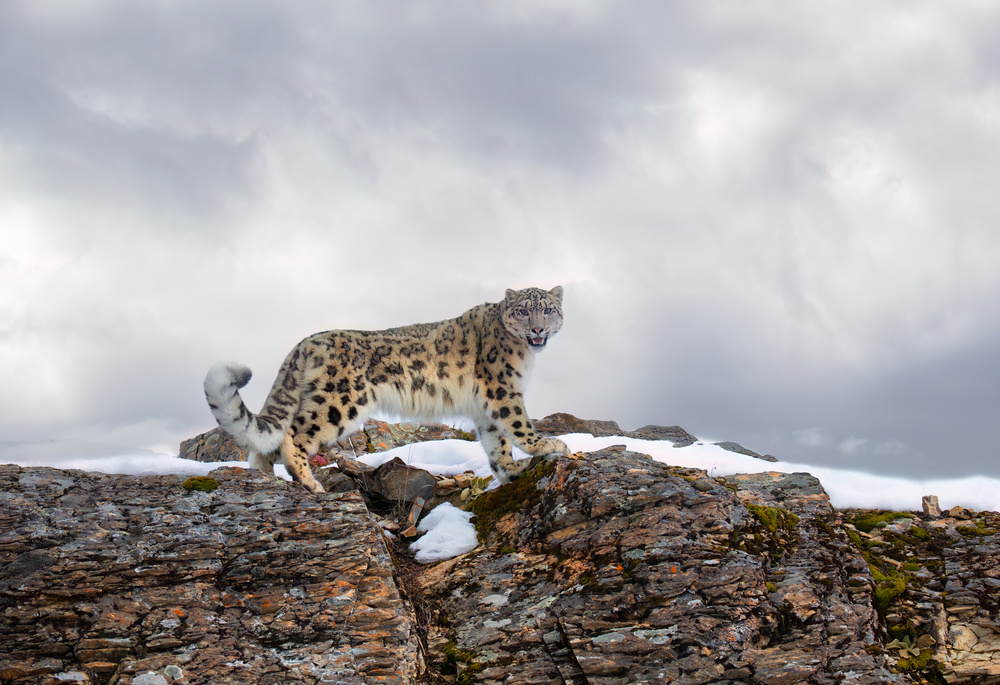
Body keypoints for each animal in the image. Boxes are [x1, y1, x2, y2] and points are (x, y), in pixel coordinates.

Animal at [203, 286, 569, 494]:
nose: (538, 329)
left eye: (548, 309)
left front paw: (511, 470)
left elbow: (496, 443)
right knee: (293, 435)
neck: (524, 355)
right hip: (340, 401)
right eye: (524, 310)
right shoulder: (502, 389)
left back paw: (266, 479)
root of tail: (306, 343)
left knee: (265, 444)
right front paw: (550, 444)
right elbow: (518, 424)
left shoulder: (484, 407)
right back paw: (309, 483)